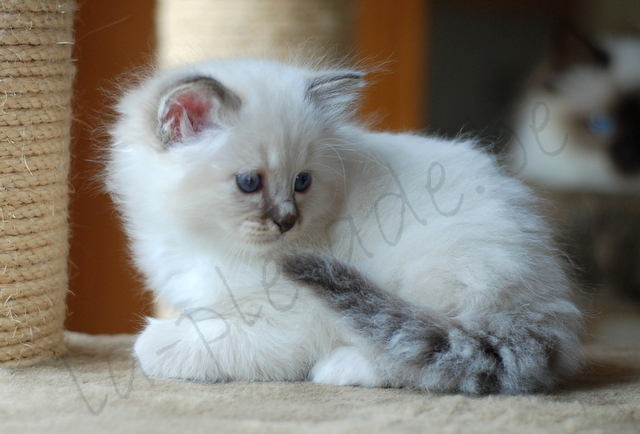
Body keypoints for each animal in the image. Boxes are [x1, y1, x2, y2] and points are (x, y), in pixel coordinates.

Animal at [107, 56, 584, 394]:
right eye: (249, 183)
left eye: (302, 181)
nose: (287, 221)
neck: (203, 243)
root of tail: (544, 304)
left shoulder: (290, 323)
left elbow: (194, 342)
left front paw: (152, 343)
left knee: (430, 353)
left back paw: (341, 367)